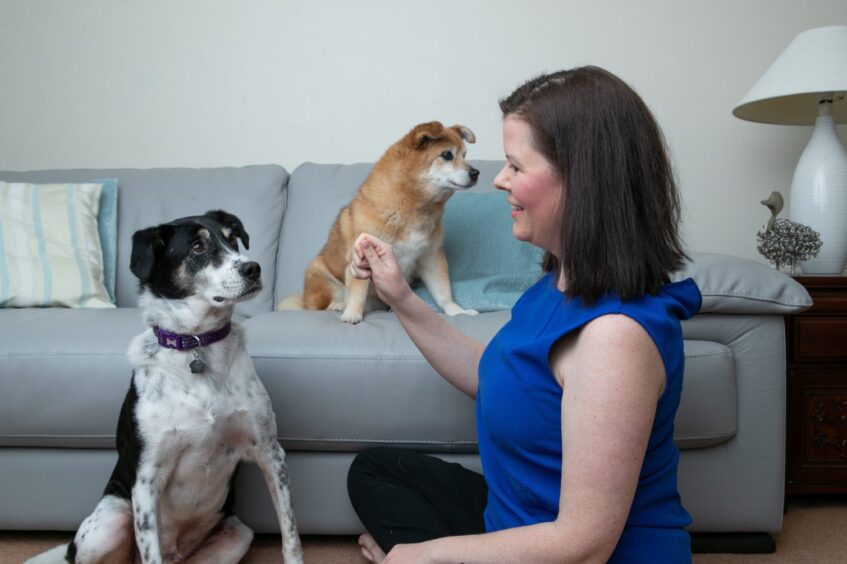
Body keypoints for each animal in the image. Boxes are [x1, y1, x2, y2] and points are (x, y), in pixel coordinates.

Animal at [29, 212, 302, 564]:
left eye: (233, 240)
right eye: (197, 247)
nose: (253, 268)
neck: (197, 344)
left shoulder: (271, 453)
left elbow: (290, 534)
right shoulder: (147, 479)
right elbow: (150, 550)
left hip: (236, 535)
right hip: (108, 524)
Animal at [276, 121, 476, 324]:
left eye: (465, 155)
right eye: (447, 155)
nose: (476, 172)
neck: (414, 208)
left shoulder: (431, 256)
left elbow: (443, 293)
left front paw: (457, 311)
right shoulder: (361, 257)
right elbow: (358, 292)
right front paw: (352, 314)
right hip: (318, 271)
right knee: (318, 306)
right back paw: (338, 305)